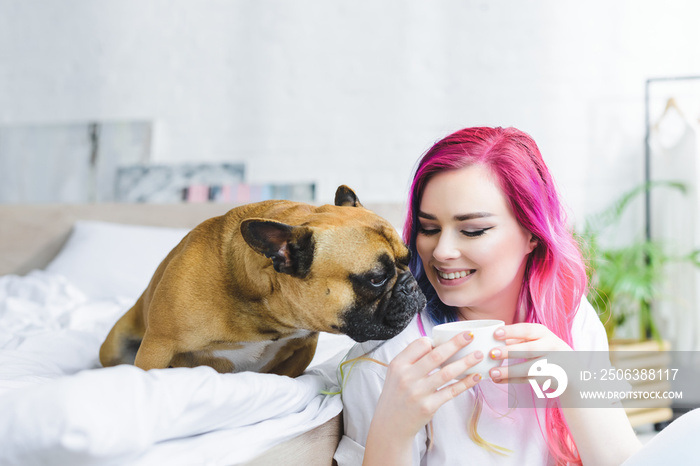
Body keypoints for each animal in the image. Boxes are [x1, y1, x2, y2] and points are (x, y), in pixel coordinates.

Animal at [98, 184, 426, 376]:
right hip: (115, 347)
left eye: (408, 258)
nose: (412, 285)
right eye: (376, 279)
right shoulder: (157, 349)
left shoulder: (302, 349)